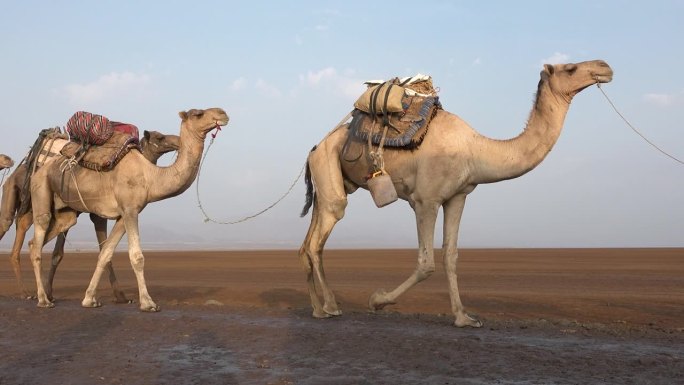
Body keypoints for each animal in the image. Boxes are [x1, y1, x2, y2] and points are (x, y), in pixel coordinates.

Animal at [0, 129, 179, 300]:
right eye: (160, 137)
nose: (177, 141)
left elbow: (99, 249)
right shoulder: (95, 214)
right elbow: (60, 253)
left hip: (32, 209)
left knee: (24, 235)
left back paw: (29, 292)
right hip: (15, 195)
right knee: (7, 224)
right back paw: (28, 293)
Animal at [29, 106, 228, 310]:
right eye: (199, 114)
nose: (223, 113)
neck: (150, 177)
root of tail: (41, 169)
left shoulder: (124, 214)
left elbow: (105, 253)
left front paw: (89, 299)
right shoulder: (130, 210)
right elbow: (137, 256)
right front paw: (148, 302)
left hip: (65, 212)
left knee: (38, 240)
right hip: (41, 189)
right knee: (38, 239)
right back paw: (43, 300)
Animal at [300, 60, 616, 328]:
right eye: (571, 68)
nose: (605, 67)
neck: (474, 150)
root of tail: (313, 149)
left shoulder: (458, 196)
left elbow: (450, 256)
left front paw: (464, 318)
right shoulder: (426, 200)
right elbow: (426, 263)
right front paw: (377, 300)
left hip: (329, 182)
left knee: (309, 242)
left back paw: (317, 308)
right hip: (329, 171)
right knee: (318, 240)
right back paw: (331, 306)